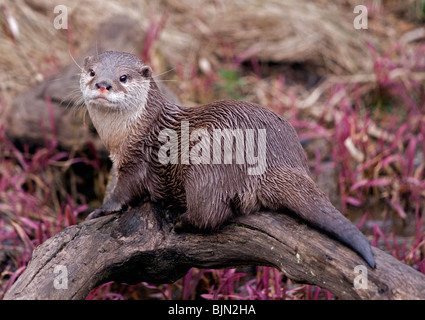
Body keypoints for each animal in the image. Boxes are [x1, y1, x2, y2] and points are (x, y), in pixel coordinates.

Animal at [79, 51, 374, 268]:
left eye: (123, 77)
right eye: (92, 72)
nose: (103, 84)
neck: (125, 135)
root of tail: (274, 160)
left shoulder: (136, 159)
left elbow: (123, 193)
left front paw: (101, 210)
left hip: (207, 167)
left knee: (210, 214)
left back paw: (181, 222)